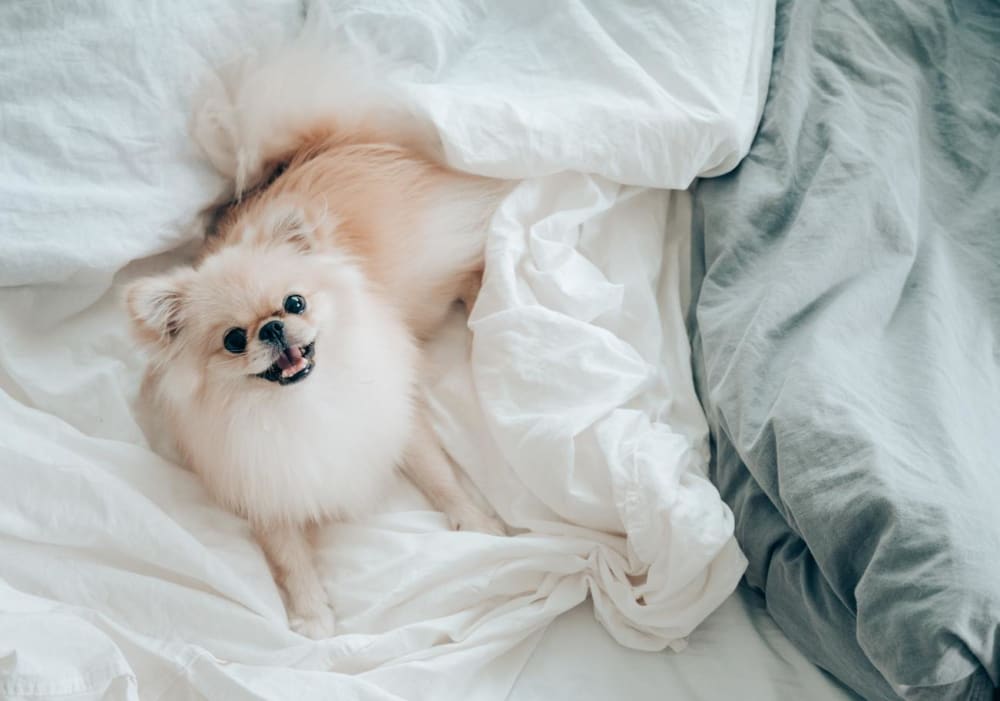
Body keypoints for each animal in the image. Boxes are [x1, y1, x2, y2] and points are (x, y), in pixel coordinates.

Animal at [127, 42, 508, 636]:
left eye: (294, 303)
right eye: (233, 340)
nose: (271, 327)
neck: (302, 404)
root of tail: (329, 144)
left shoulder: (396, 420)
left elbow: (440, 475)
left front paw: (478, 524)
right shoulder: (260, 485)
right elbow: (288, 554)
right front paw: (311, 616)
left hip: (427, 274)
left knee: (468, 267)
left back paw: (480, 304)